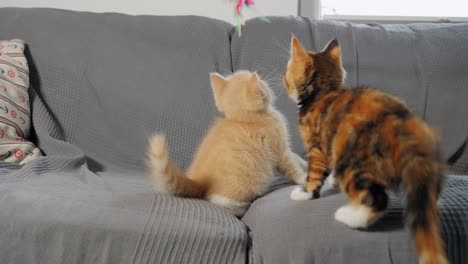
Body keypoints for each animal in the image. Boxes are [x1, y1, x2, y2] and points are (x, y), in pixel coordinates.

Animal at [147, 69, 308, 217]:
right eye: (261, 81)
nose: (263, 79)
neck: (244, 119)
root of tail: (199, 181)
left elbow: (296, 157)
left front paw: (306, 164)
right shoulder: (277, 147)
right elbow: (290, 165)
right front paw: (303, 177)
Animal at [284, 35, 448, 264]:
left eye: (286, 74)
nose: (283, 81)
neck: (324, 93)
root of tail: (405, 131)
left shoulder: (317, 148)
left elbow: (314, 174)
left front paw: (304, 193)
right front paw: (331, 182)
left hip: (353, 163)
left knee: (377, 200)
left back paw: (349, 216)